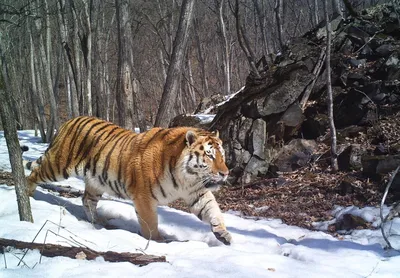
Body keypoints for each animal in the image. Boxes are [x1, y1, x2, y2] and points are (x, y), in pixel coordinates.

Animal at [21, 116, 233, 244]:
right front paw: (157, 241)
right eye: (209, 155)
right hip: (58, 166)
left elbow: (213, 210)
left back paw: (97, 222)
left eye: (222, 155)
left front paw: (223, 233)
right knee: (34, 173)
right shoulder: (144, 197)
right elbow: (150, 223)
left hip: (96, 181)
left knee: (87, 199)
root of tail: (69, 120)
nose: (225, 173)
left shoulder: (196, 191)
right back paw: (27, 195)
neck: (186, 178)